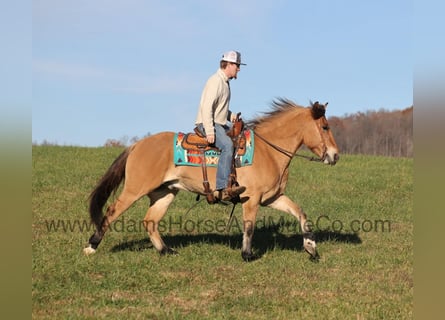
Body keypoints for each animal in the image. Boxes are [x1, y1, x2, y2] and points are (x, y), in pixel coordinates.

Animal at [84, 99, 340, 262]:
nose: (335, 155)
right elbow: (249, 226)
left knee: (150, 221)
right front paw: (247, 255)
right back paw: (91, 246)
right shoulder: (252, 198)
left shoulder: (272, 197)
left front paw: (311, 247)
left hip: (164, 192)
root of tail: (137, 144)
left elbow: (300, 213)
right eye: (325, 126)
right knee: (112, 212)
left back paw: (166, 251)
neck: (268, 151)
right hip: (135, 189)